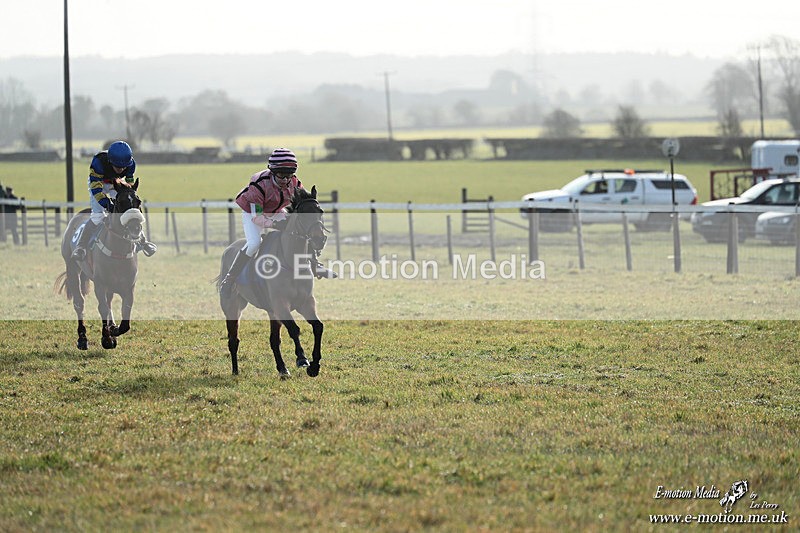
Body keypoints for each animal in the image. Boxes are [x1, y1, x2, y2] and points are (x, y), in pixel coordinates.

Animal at [55, 180, 145, 350]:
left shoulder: (128, 287)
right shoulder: (100, 284)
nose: (135, 228)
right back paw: (82, 338)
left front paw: (113, 330)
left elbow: (125, 318)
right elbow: (102, 308)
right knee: (79, 303)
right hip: (72, 268)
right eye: (120, 202)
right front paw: (107, 338)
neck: (118, 252)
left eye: (138, 201)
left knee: (108, 303)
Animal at [216, 186, 327, 378]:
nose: (319, 240)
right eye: (302, 214)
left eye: (320, 212)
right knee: (233, 340)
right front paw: (302, 359)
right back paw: (235, 370)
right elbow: (294, 329)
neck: (291, 262)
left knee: (274, 340)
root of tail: (228, 249)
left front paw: (314, 366)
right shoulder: (281, 304)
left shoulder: (305, 302)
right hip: (232, 307)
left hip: (271, 312)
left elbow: (318, 327)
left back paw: (282, 369)